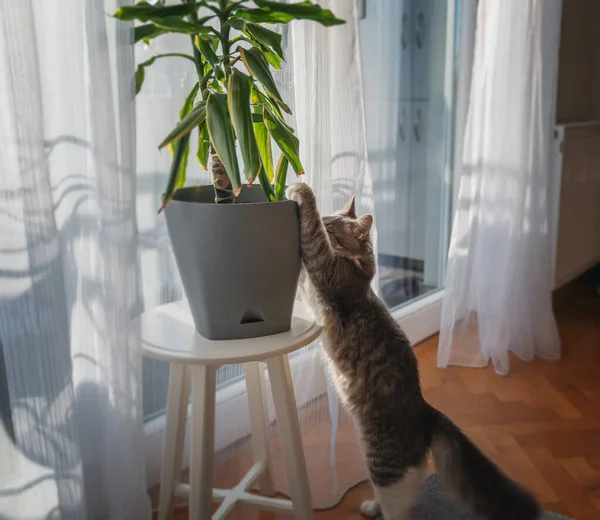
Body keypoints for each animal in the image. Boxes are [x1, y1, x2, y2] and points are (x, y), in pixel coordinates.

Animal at [286, 181, 540, 516]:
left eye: (330, 227)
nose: (328, 221)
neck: (358, 265)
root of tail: (425, 412)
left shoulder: (325, 268)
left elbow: (311, 235)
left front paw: (299, 189)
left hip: (385, 466)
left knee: (399, 508)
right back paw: (371, 507)